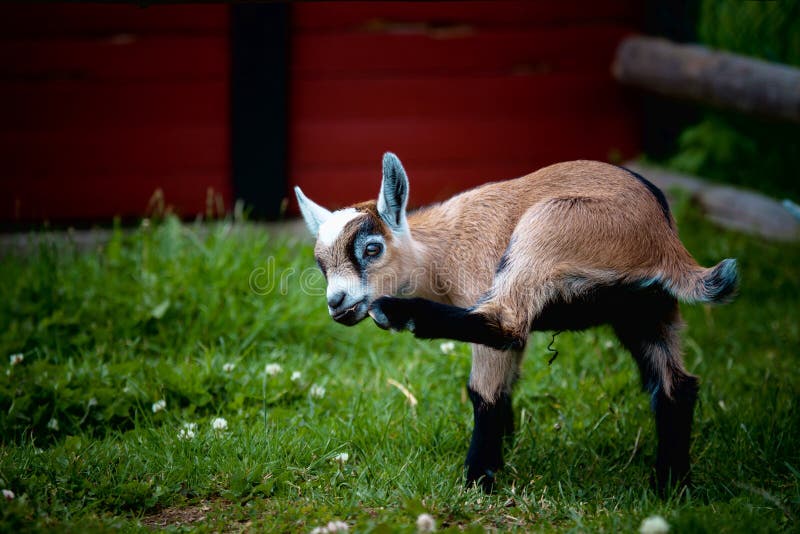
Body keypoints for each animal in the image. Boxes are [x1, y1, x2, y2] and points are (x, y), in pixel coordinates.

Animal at [295, 153, 738, 493]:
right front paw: (503, 451)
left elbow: (487, 389)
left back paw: (399, 314)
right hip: (645, 310)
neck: (441, 248)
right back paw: (670, 486)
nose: (338, 303)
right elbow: (506, 386)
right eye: (320, 265)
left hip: (547, 229)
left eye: (372, 249)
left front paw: (481, 479)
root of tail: (665, 244)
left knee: (503, 324)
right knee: (676, 385)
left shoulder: (480, 285)